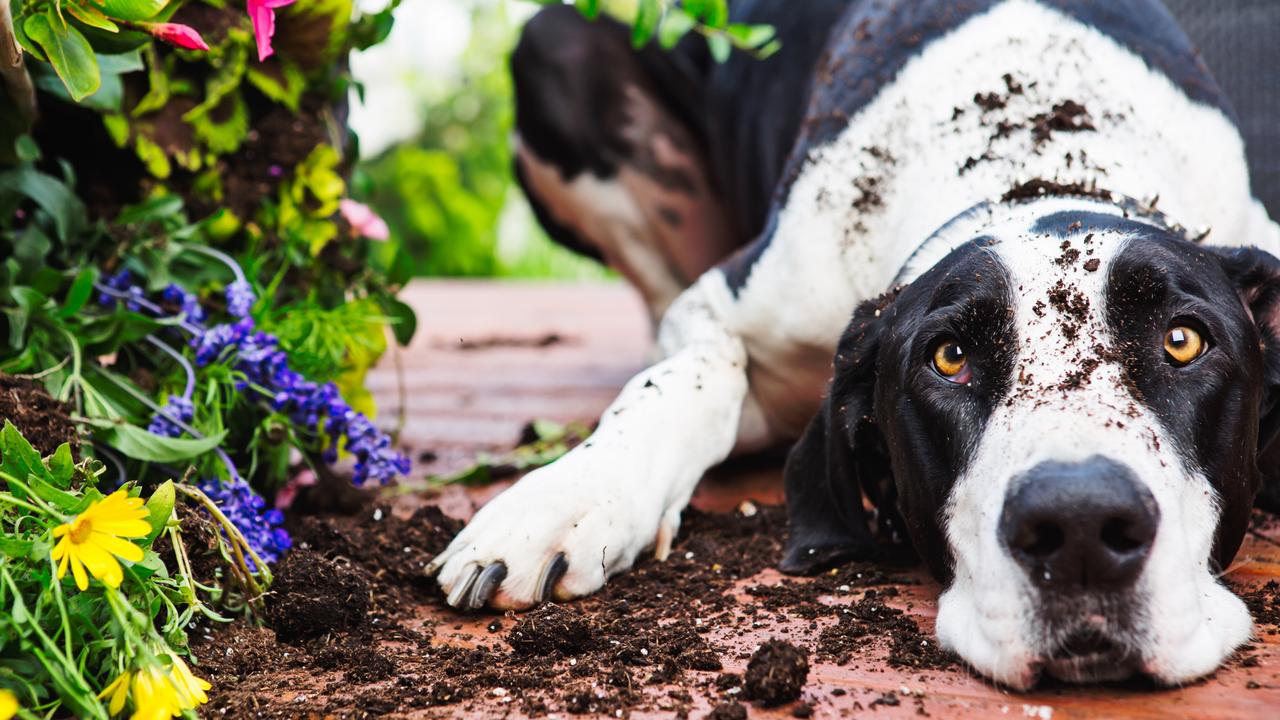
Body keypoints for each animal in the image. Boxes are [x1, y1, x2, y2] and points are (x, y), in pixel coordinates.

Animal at [430, 0, 1280, 681]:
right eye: (949, 357)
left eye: (1182, 341)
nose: (1079, 528)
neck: (1039, 163)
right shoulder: (727, 306)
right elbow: (684, 382)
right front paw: (566, 498)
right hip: (555, 47)